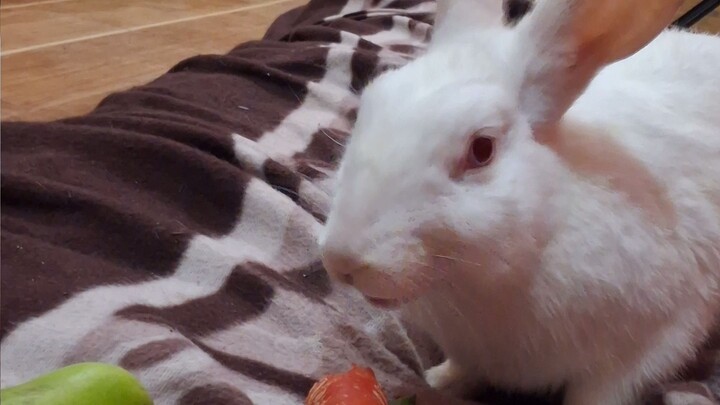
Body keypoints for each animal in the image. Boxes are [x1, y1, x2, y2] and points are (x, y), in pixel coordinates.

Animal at [318, 0, 720, 404]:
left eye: (482, 149)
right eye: (368, 106)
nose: (342, 261)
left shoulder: (651, 341)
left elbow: (599, 391)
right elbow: (461, 369)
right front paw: (438, 380)